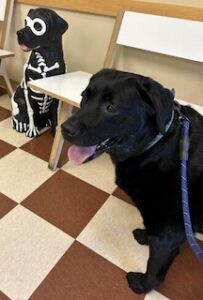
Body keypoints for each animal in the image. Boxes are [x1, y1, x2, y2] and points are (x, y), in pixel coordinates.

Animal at [11, 8, 68, 137]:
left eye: (37, 26)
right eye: (25, 23)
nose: (19, 33)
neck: (46, 56)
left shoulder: (57, 93)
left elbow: (55, 111)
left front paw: (55, 129)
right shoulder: (28, 90)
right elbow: (31, 111)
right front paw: (32, 130)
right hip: (18, 99)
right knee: (18, 115)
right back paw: (22, 124)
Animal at [61, 69, 203, 294]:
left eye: (111, 107)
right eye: (84, 97)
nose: (65, 129)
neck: (157, 145)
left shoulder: (167, 233)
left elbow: (155, 267)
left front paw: (143, 285)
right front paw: (145, 236)